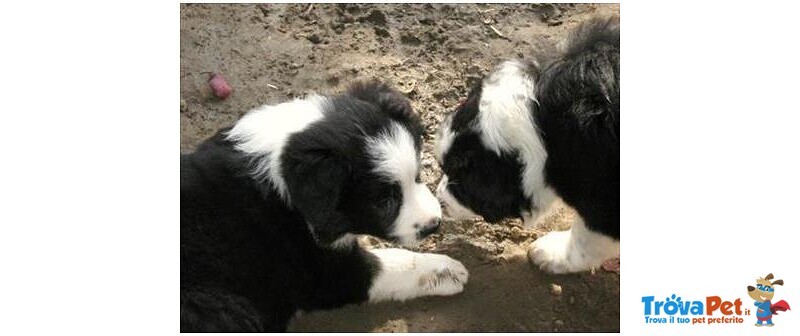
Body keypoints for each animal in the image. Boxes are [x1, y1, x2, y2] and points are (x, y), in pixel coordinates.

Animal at [181, 80, 468, 330]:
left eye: (417, 176)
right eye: (384, 202)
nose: (434, 224)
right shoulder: (323, 269)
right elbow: (393, 262)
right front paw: (447, 271)